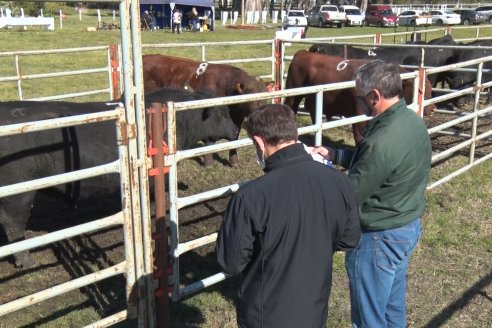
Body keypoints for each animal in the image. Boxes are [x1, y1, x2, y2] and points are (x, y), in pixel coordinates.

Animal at [141, 54, 270, 167]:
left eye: (266, 98)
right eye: (250, 98)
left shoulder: (236, 122)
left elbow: (234, 140)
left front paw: (234, 162)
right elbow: (209, 142)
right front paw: (209, 163)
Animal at [282, 50, 436, 144]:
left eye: (430, 90)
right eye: (421, 90)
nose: (433, 109)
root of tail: (302, 53)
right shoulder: (360, 115)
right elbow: (360, 136)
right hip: (292, 95)